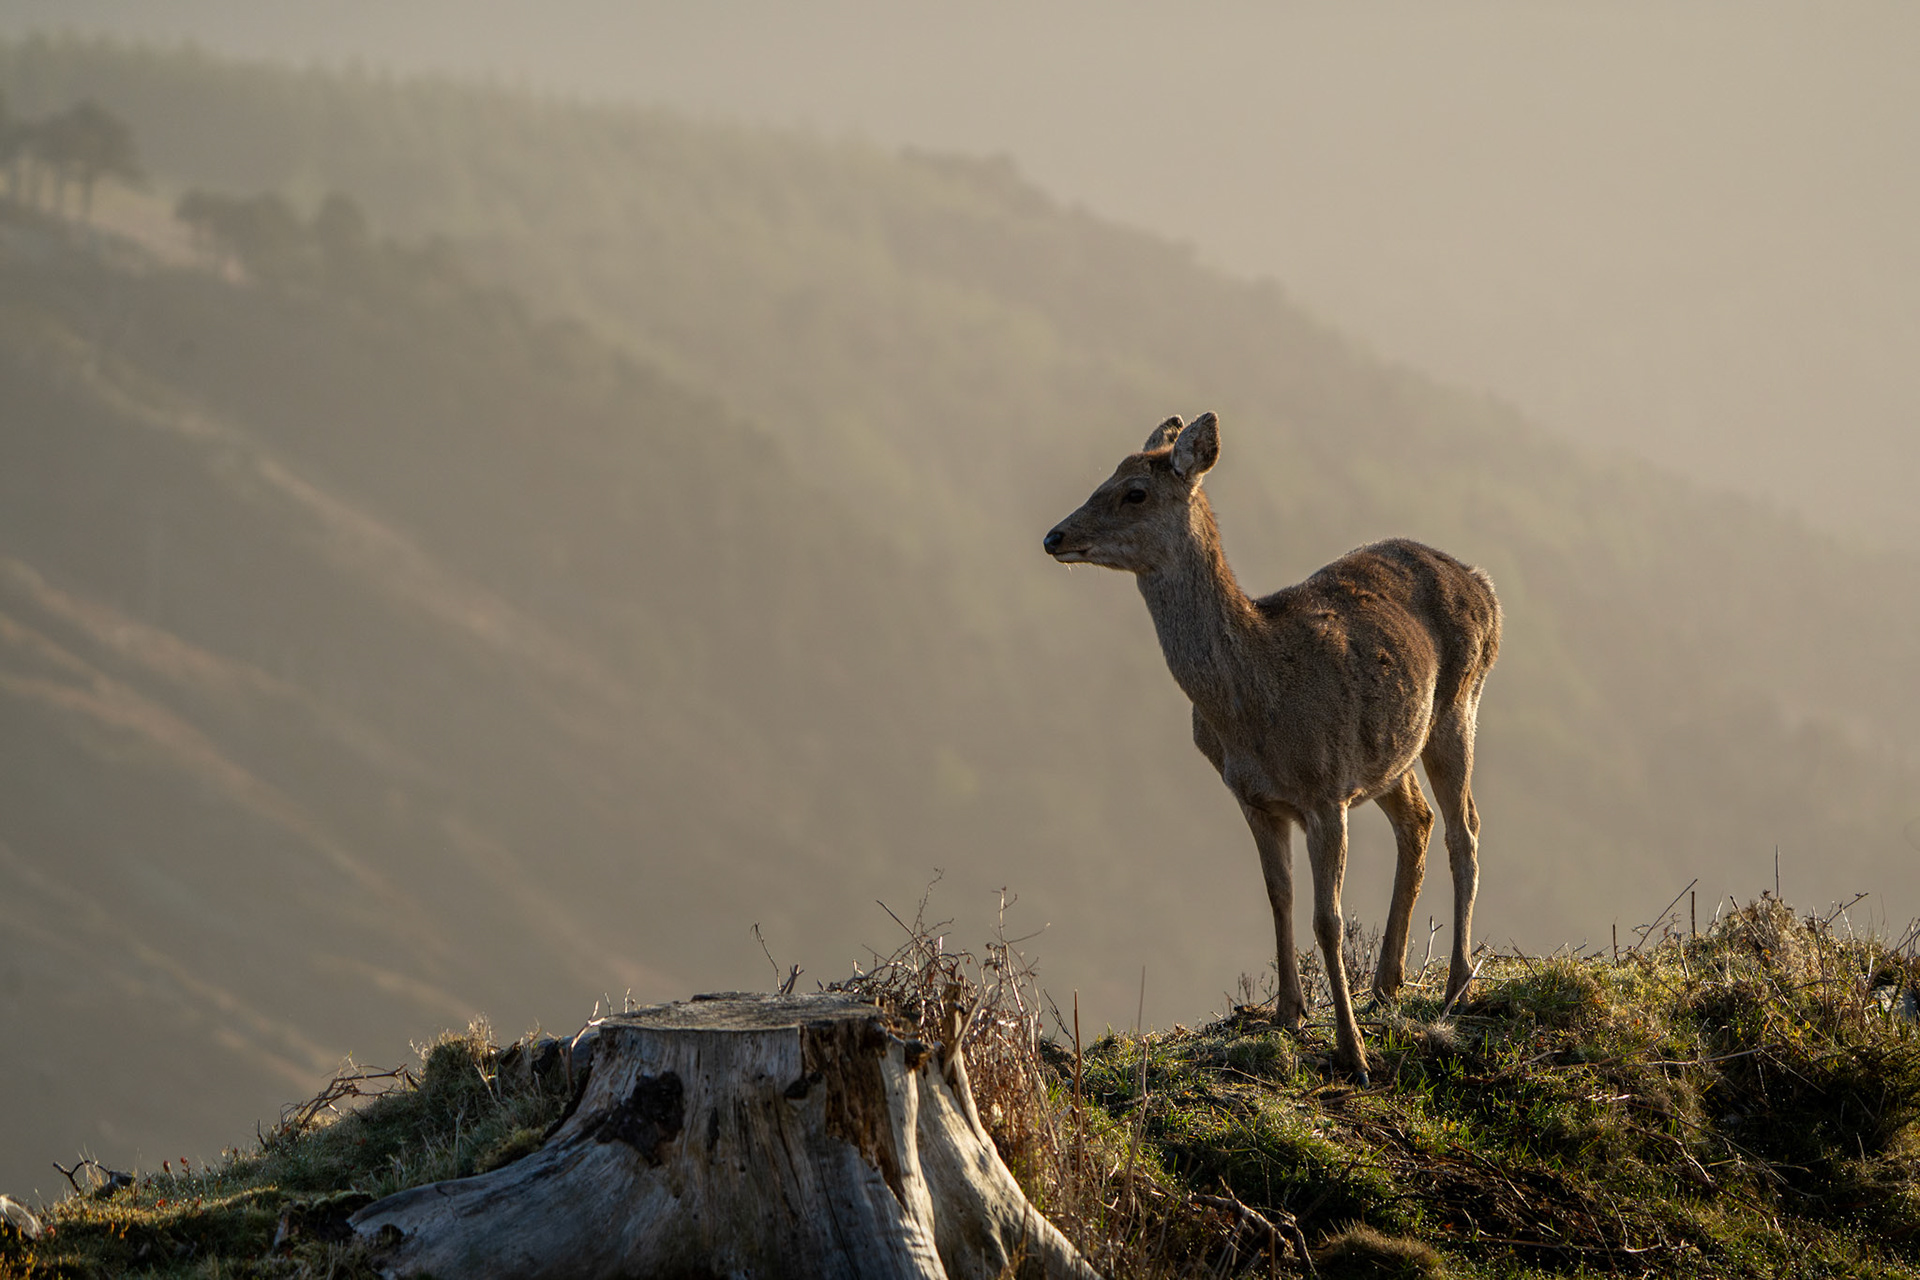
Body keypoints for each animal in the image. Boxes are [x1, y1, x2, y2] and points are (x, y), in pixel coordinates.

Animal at [1042, 412, 1501, 1082]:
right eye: (1105, 477)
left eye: (1135, 492)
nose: (1054, 536)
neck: (1250, 705)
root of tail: (1485, 584)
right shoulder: (1255, 798)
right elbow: (1278, 897)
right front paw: (1288, 1013)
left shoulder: (1326, 790)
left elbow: (1327, 919)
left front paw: (1353, 1052)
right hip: (1393, 752)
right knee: (1417, 822)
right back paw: (1388, 981)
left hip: (1460, 702)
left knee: (1464, 828)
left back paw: (1457, 985)